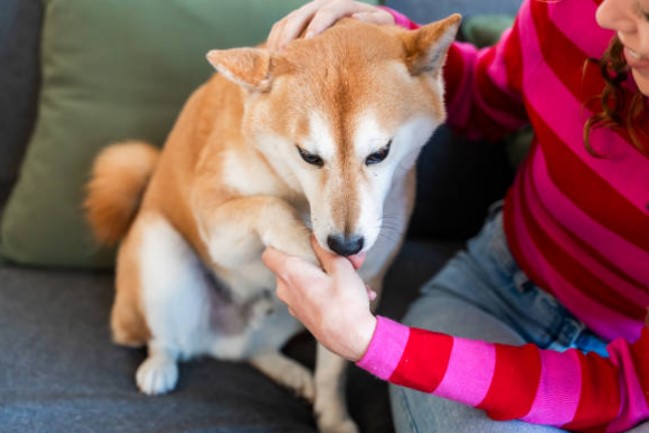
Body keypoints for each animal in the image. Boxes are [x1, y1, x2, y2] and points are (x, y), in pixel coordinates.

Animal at [85, 15, 460, 432]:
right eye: (309, 156)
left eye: (379, 153)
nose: (345, 245)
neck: (295, 189)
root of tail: (222, 343)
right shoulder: (214, 219)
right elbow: (269, 206)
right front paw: (301, 244)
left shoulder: (362, 289)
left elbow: (333, 371)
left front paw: (333, 418)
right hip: (159, 250)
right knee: (165, 339)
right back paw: (159, 366)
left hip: (284, 318)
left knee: (254, 350)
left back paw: (291, 374)